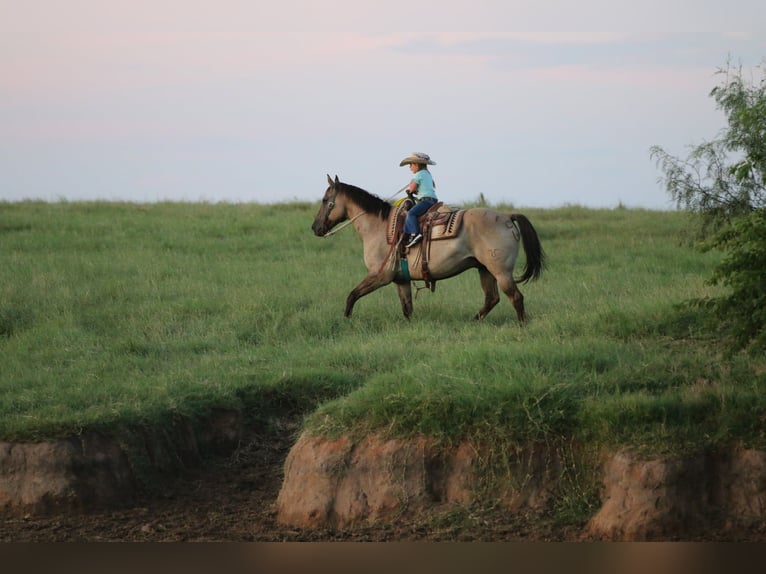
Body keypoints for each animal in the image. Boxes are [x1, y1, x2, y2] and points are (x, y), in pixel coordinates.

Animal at [311, 175, 546, 323]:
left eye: (325, 200)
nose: (315, 227)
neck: (379, 227)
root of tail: (507, 217)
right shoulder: (401, 280)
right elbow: (407, 309)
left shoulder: (380, 276)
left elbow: (352, 295)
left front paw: (346, 320)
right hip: (484, 269)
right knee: (492, 299)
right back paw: (474, 321)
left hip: (501, 272)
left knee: (515, 297)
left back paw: (522, 325)